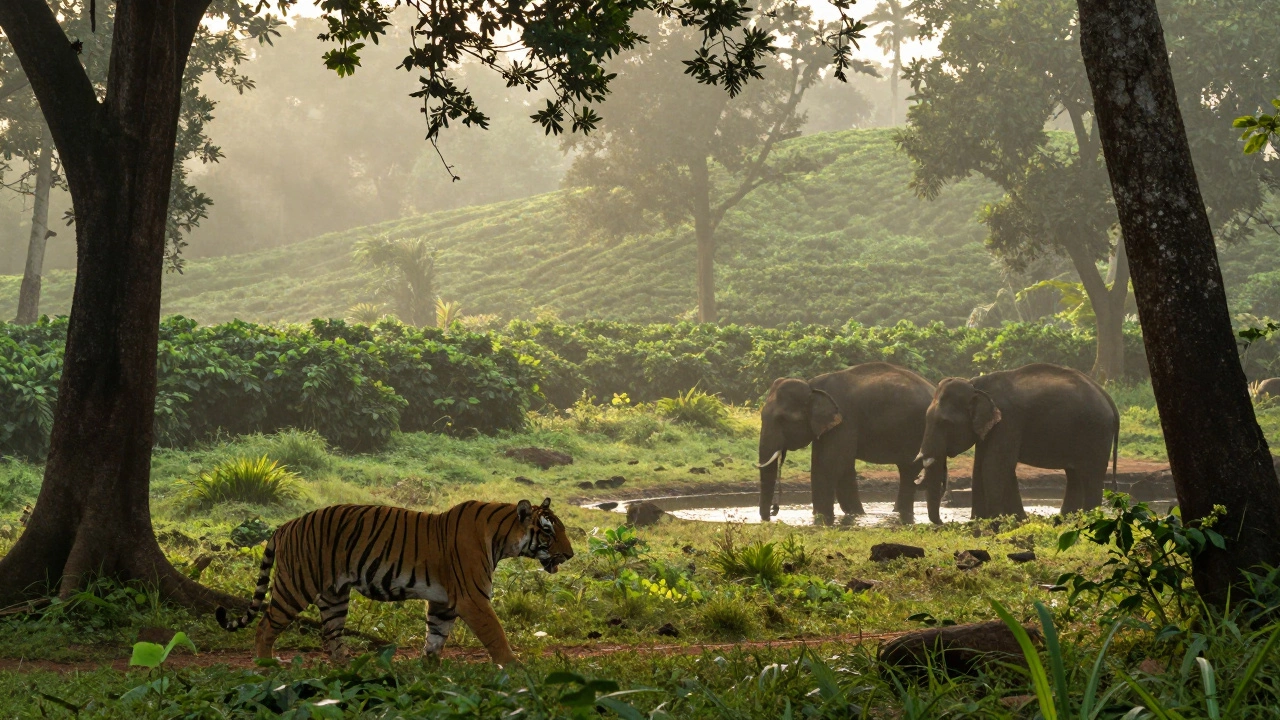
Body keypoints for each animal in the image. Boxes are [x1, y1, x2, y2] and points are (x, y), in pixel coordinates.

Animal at [215, 497, 573, 666]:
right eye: (547, 531)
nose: (570, 555)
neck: (502, 538)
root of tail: (284, 525)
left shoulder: (443, 602)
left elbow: (436, 636)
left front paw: (427, 668)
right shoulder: (473, 598)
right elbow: (495, 634)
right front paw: (514, 666)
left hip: (334, 596)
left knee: (330, 635)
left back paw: (351, 666)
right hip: (295, 585)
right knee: (265, 625)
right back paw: (266, 663)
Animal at [756, 362, 948, 525]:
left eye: (782, 419)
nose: (772, 513)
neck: (811, 386)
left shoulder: (845, 421)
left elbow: (830, 463)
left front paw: (822, 518)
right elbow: (841, 466)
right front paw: (856, 515)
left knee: (909, 471)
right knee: (907, 471)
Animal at [914, 363, 1119, 519]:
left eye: (945, 423)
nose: (942, 522)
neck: (975, 386)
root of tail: (1108, 398)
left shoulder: (1008, 421)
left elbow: (995, 465)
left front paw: (996, 522)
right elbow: (981, 465)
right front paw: (997, 520)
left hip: (1096, 432)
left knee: (1091, 475)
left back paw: (1089, 520)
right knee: (1074, 474)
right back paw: (1065, 521)